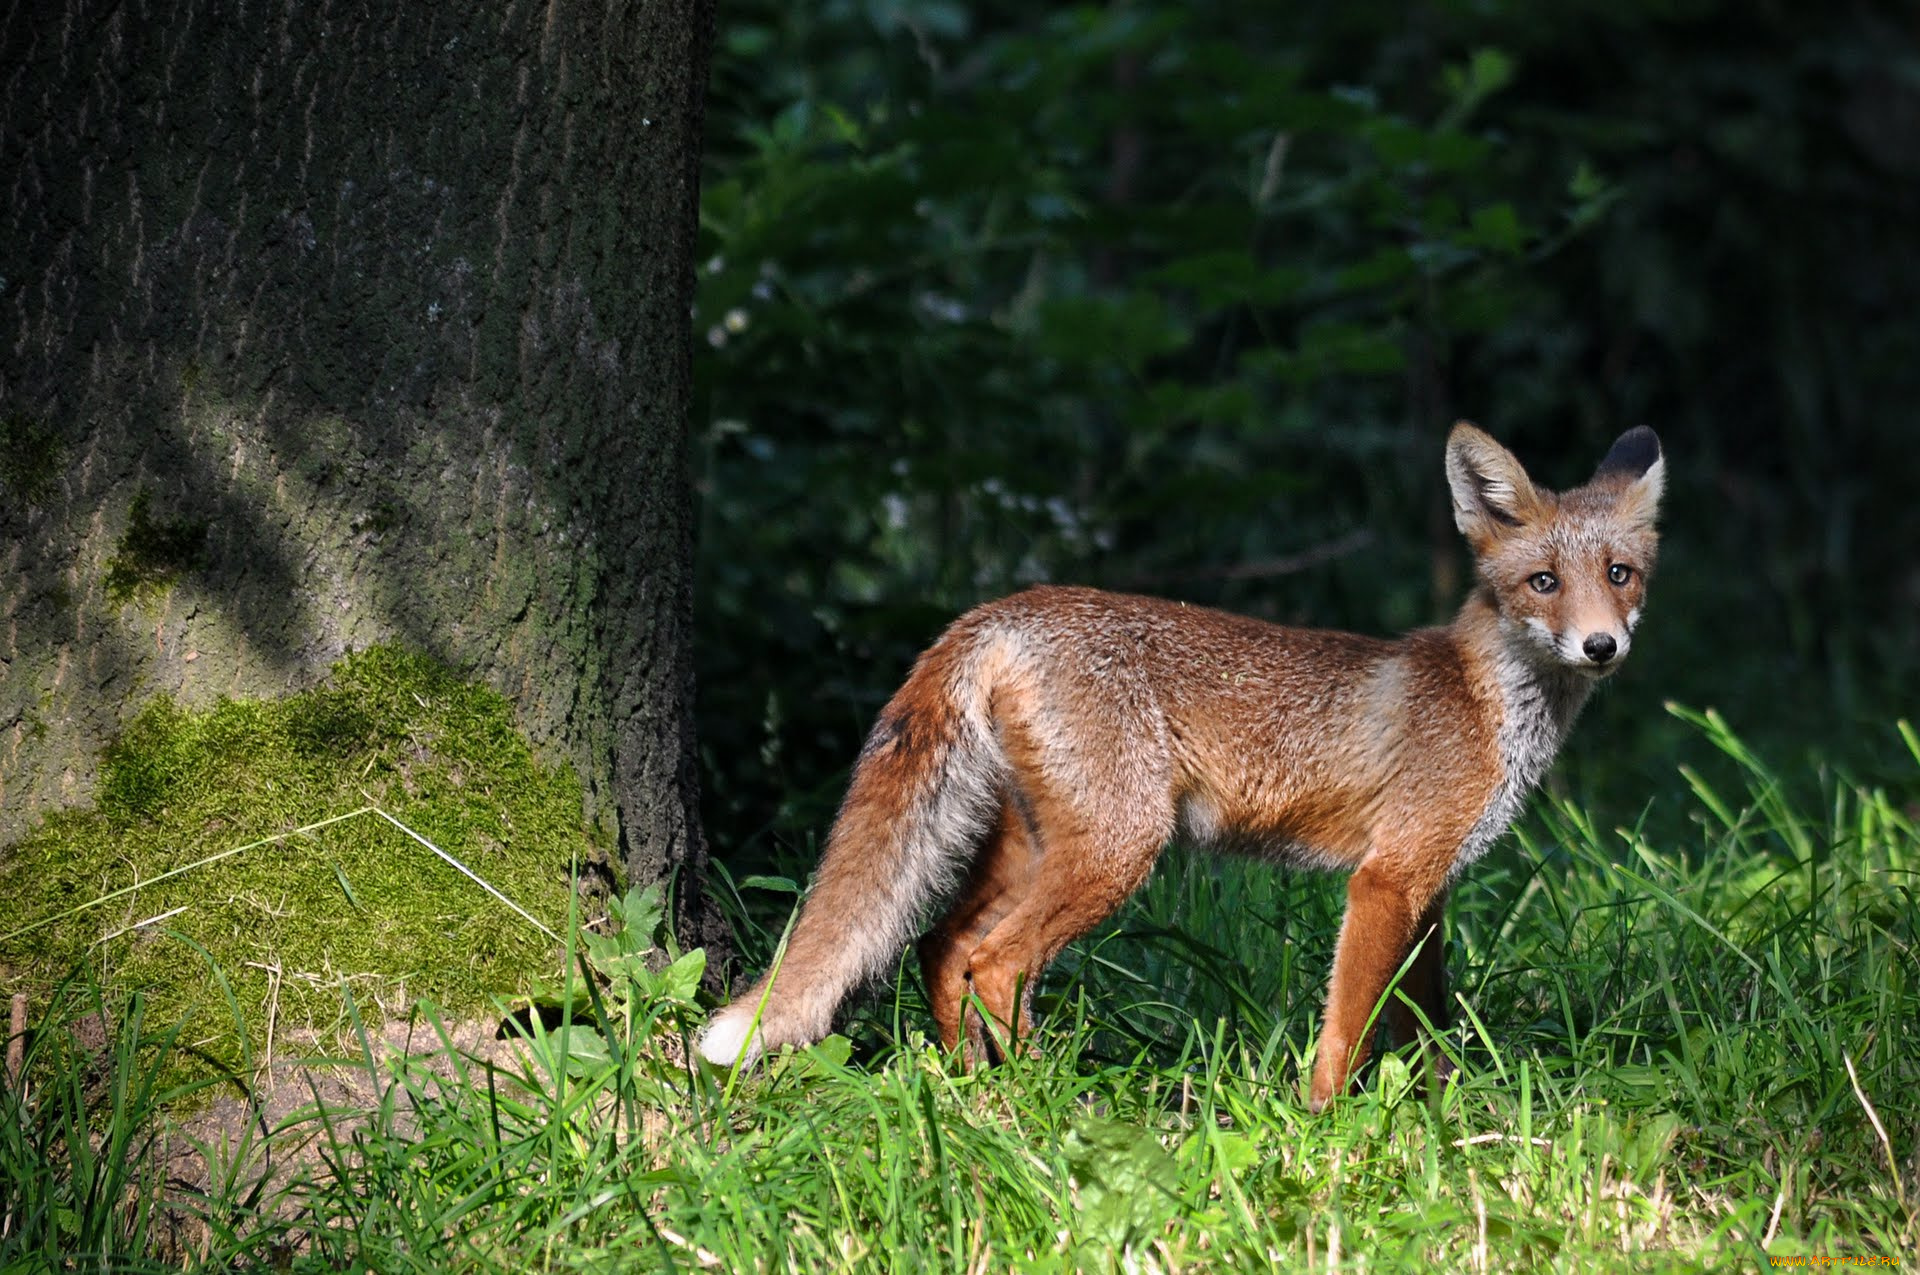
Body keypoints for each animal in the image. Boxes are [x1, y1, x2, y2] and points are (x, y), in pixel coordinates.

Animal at [700, 423, 1664, 1110]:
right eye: (1544, 582)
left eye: (1620, 574)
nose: (1603, 646)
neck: (1482, 698)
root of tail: (1000, 608)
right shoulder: (1387, 879)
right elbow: (1348, 1028)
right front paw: (1327, 1125)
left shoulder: (1429, 889)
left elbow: (1424, 1025)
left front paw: (1437, 1119)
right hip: (1121, 845)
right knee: (995, 962)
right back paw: (1049, 1096)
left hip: (1034, 843)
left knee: (943, 945)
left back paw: (973, 1088)